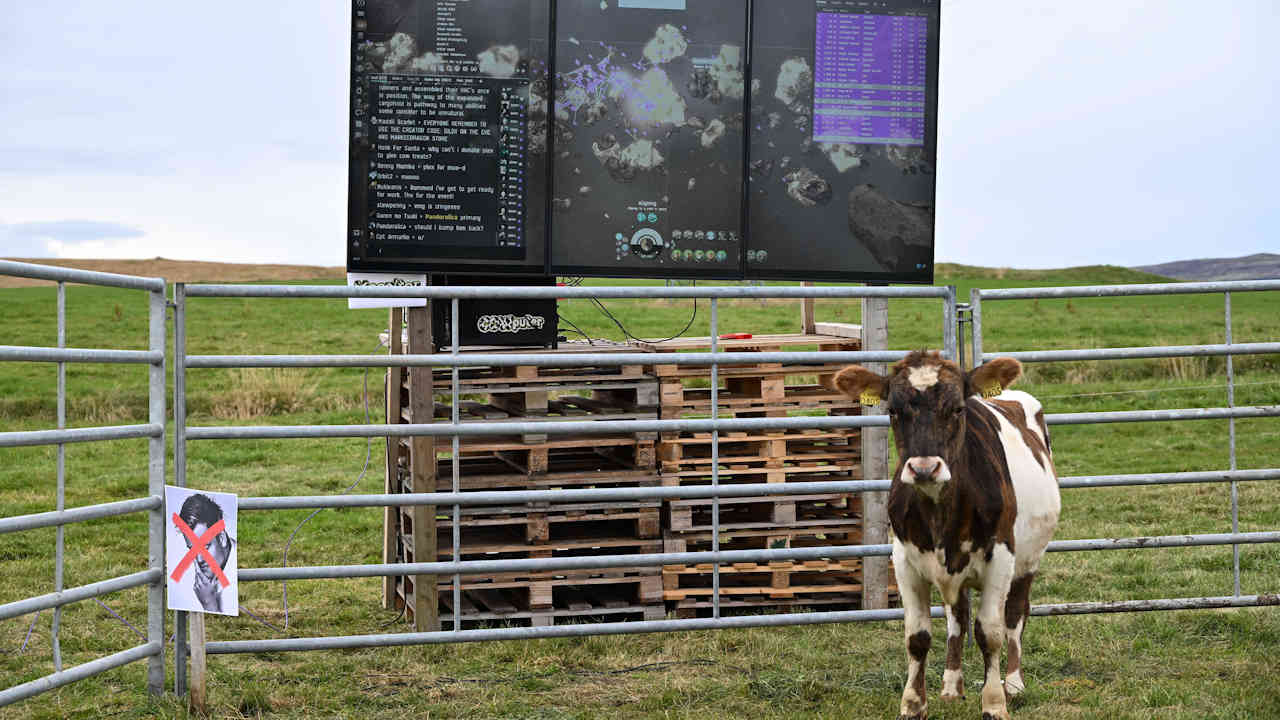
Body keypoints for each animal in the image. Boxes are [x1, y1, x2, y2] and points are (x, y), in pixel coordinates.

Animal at [834, 351, 1060, 720]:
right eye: (892, 410)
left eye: (957, 409)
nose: (924, 468)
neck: (941, 512)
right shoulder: (904, 561)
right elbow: (918, 636)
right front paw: (913, 704)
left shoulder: (1001, 558)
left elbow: (990, 633)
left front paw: (994, 702)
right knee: (958, 616)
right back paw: (952, 685)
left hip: (1029, 559)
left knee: (1015, 614)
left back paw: (1014, 683)